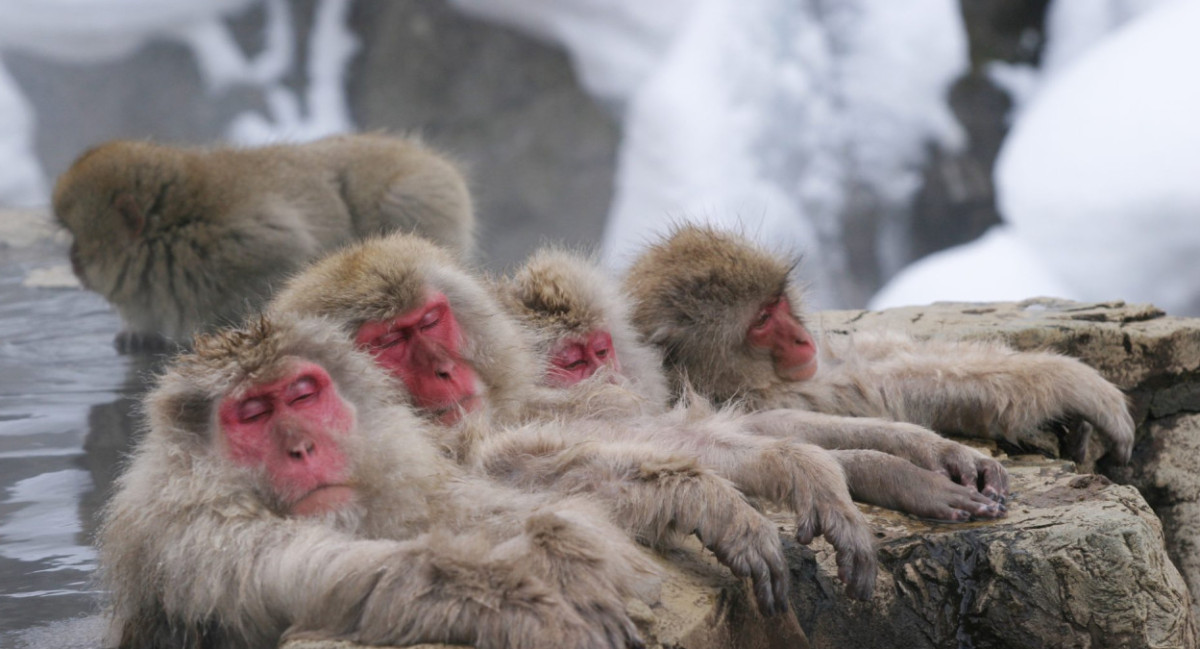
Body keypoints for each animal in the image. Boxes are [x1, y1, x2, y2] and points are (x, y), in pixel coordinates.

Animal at [55, 133, 477, 352]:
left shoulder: (246, 243)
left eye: (77, 240)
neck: (173, 230)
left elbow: (289, 257)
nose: (72, 261)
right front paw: (138, 333)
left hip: (419, 196)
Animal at [100, 311, 667, 643]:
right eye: (254, 414)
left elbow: (488, 509)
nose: (302, 448)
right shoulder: (197, 535)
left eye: (303, 395)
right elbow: (316, 573)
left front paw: (566, 548)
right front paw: (517, 603)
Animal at [267, 233, 873, 607]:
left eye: (431, 320)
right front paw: (704, 500)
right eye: (390, 341)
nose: (443, 369)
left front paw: (796, 467)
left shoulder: (527, 398)